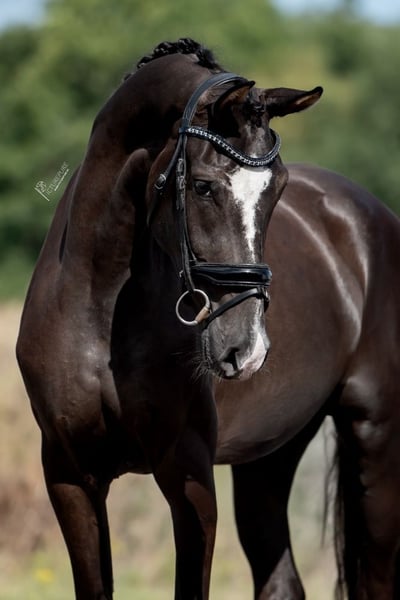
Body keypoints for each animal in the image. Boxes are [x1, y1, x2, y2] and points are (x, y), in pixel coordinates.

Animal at [16, 38, 400, 600]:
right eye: (201, 187)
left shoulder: (188, 475)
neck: (98, 303)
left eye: (278, 189)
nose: (248, 349)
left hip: (374, 435)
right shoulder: (70, 474)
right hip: (268, 458)